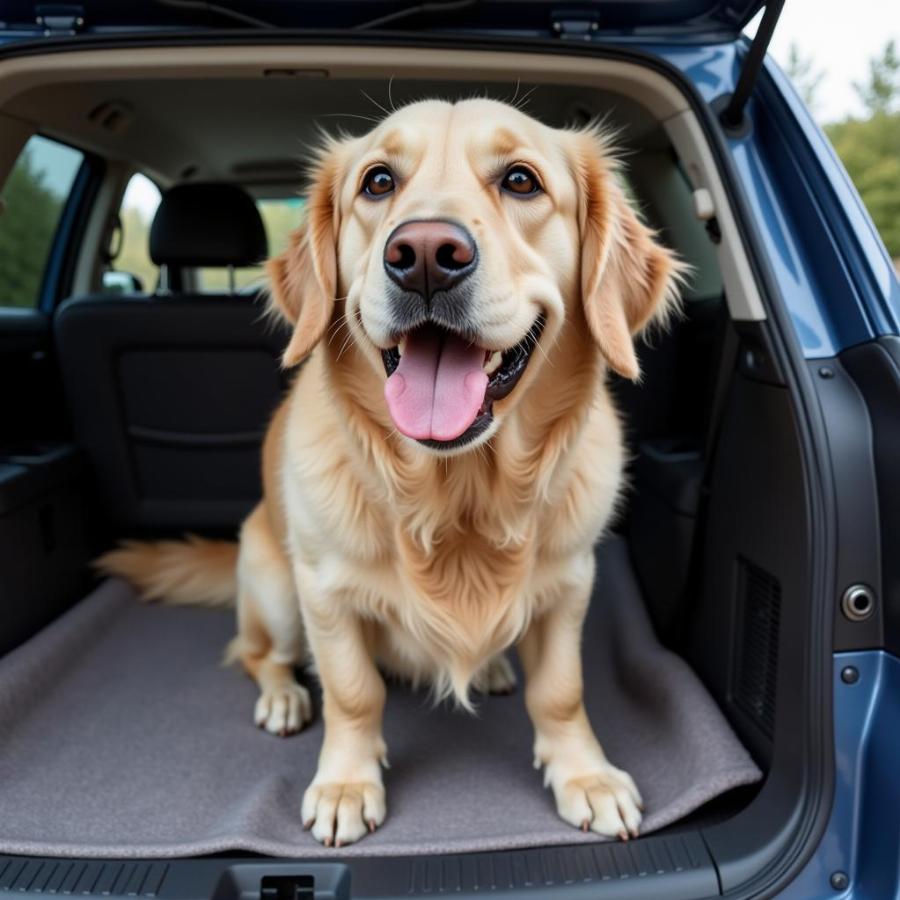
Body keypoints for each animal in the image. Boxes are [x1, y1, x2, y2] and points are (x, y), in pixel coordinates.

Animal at [98, 100, 680, 852]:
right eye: (378, 181)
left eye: (521, 180)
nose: (426, 254)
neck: (457, 489)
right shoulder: (324, 592)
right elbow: (353, 692)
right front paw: (346, 785)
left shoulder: (570, 581)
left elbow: (560, 690)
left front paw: (586, 776)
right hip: (274, 590)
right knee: (255, 652)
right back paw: (282, 695)